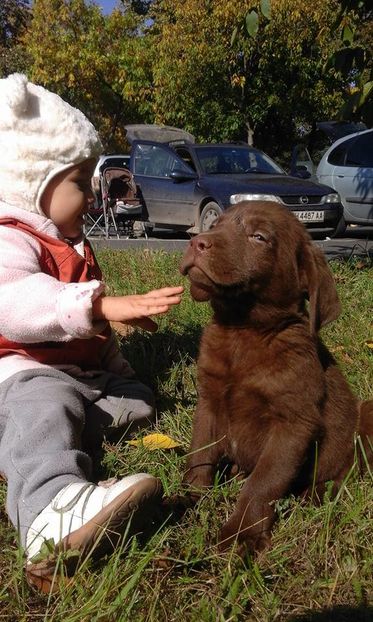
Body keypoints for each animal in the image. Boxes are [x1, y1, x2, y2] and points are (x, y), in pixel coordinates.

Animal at [179, 200, 370, 556]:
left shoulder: (293, 423)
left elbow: (264, 481)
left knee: (346, 475)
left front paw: (241, 533)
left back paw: (315, 494)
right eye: (217, 224)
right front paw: (189, 498)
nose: (197, 242)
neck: (242, 331)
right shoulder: (209, 401)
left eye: (259, 237)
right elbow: (200, 453)